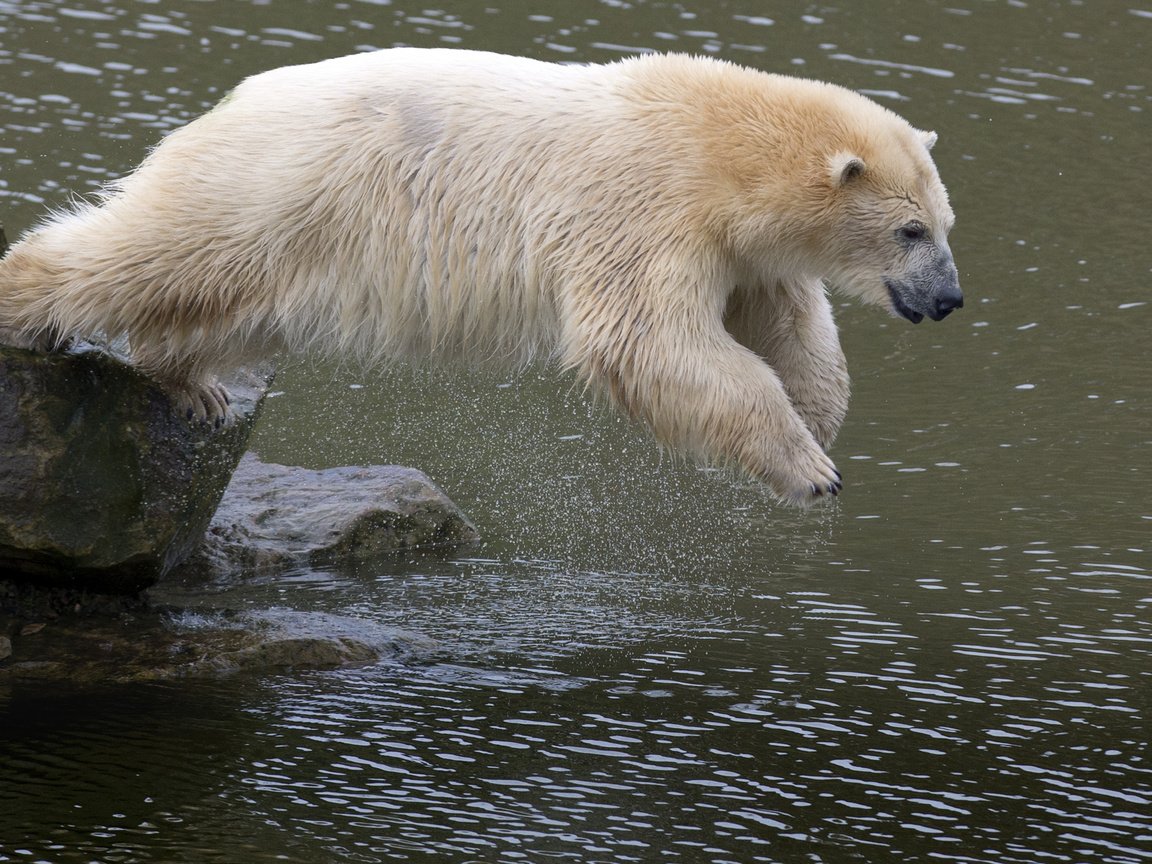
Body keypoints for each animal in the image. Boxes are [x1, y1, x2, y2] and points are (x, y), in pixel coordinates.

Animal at [0, 48, 958, 506]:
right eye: (910, 229)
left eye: (946, 225)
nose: (948, 299)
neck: (717, 141)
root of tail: (228, 104)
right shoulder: (644, 205)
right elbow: (647, 339)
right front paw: (809, 470)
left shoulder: (735, 246)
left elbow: (786, 323)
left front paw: (818, 424)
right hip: (276, 185)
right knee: (158, 248)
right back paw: (25, 304)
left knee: (225, 302)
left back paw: (191, 384)